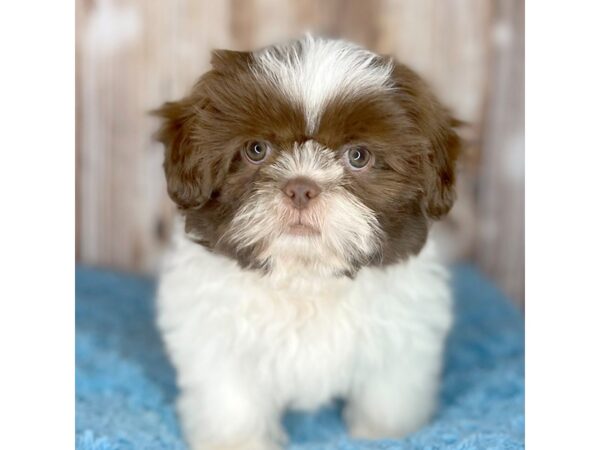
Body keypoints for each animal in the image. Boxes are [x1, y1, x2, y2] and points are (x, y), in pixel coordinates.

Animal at [155, 35, 460, 450]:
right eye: (256, 150)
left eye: (358, 156)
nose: (301, 187)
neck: (305, 277)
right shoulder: (215, 337)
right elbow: (232, 401)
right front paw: (238, 440)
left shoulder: (402, 335)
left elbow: (388, 396)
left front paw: (384, 434)